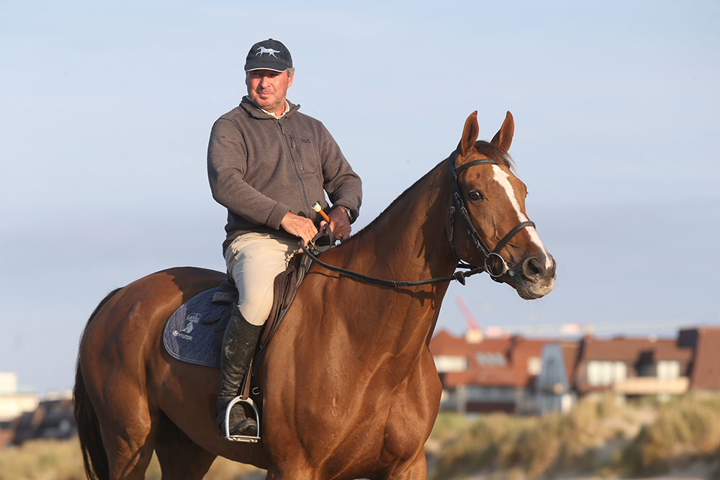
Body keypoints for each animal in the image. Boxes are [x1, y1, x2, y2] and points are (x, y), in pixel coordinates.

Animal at [74, 112, 556, 480]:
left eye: (523, 191)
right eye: (475, 193)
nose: (541, 268)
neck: (372, 349)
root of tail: (121, 297)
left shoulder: (406, 467)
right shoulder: (295, 468)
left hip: (187, 447)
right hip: (130, 442)